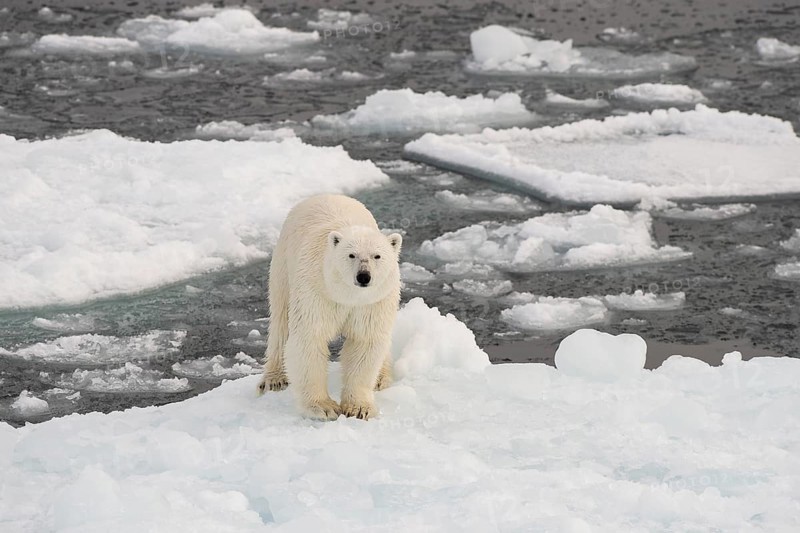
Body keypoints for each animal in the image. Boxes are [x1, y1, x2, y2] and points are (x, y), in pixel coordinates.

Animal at [256, 194, 402, 420]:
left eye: (377, 256)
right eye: (351, 255)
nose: (363, 276)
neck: (347, 295)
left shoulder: (372, 301)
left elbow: (365, 341)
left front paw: (359, 408)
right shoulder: (317, 290)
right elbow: (310, 337)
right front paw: (324, 407)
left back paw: (382, 377)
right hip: (283, 264)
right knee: (280, 320)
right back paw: (274, 379)